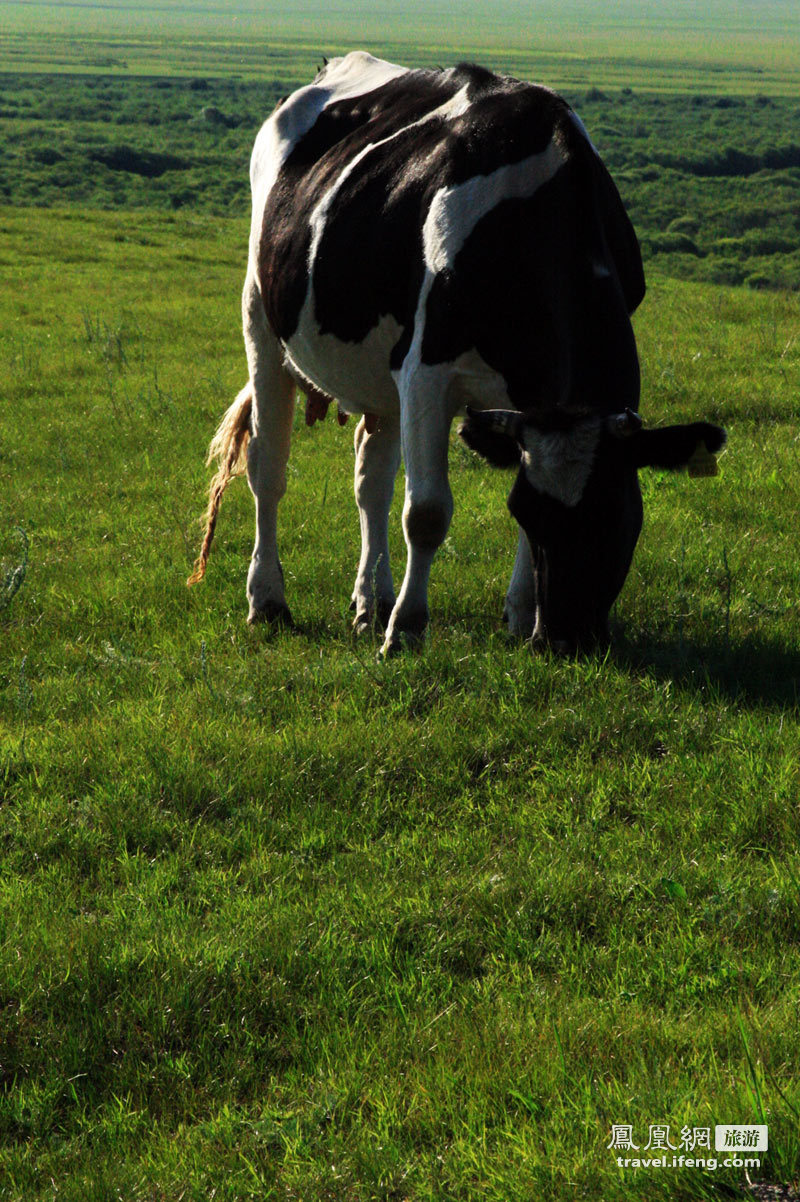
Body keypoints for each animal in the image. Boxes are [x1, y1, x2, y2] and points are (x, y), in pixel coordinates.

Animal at [189, 54, 725, 658]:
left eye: (620, 510)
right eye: (528, 511)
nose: (564, 639)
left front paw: (517, 616)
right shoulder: (426, 369)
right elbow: (425, 512)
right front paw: (406, 630)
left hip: (380, 374)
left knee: (371, 477)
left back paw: (371, 602)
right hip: (261, 317)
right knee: (267, 467)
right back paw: (270, 601)